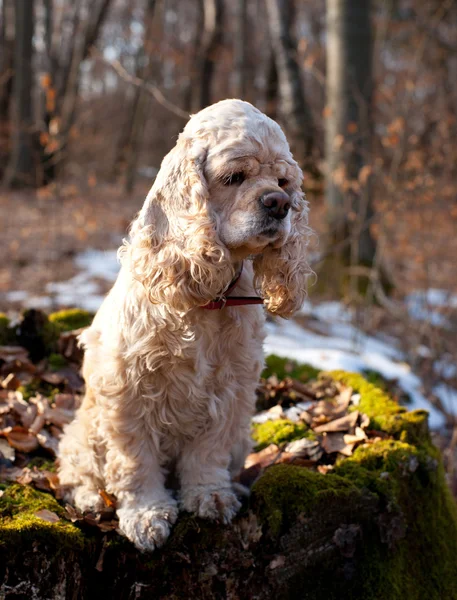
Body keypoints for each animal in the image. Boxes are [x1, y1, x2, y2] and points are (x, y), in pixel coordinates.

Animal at [58, 99, 310, 552]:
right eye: (234, 177)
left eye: (284, 181)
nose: (280, 203)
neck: (207, 300)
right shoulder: (128, 393)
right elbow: (135, 462)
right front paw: (146, 514)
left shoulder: (230, 392)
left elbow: (207, 454)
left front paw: (210, 495)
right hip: (84, 429)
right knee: (77, 469)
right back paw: (91, 499)